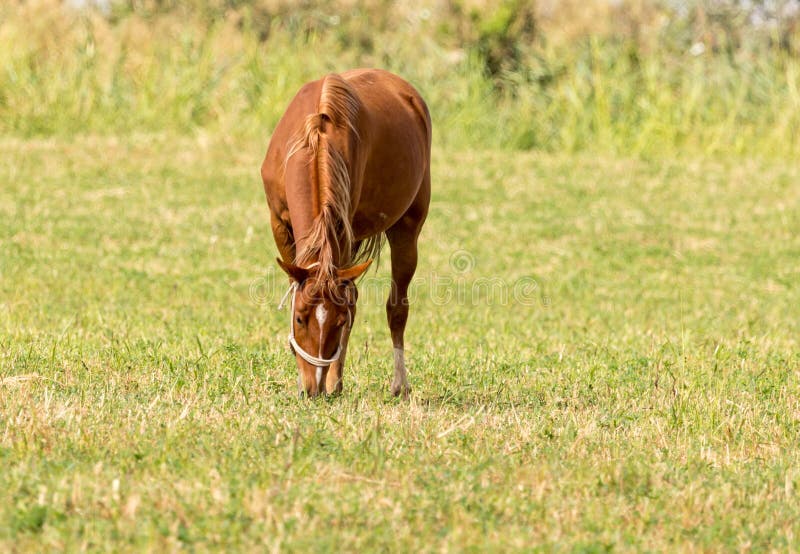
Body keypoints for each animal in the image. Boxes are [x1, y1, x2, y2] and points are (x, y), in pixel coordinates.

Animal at [260, 69, 432, 394]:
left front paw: (332, 379)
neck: (314, 142)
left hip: (406, 228)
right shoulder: (279, 224)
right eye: (299, 319)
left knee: (395, 308)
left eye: (338, 323)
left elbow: (351, 301)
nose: (312, 387)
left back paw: (395, 383)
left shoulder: (342, 230)